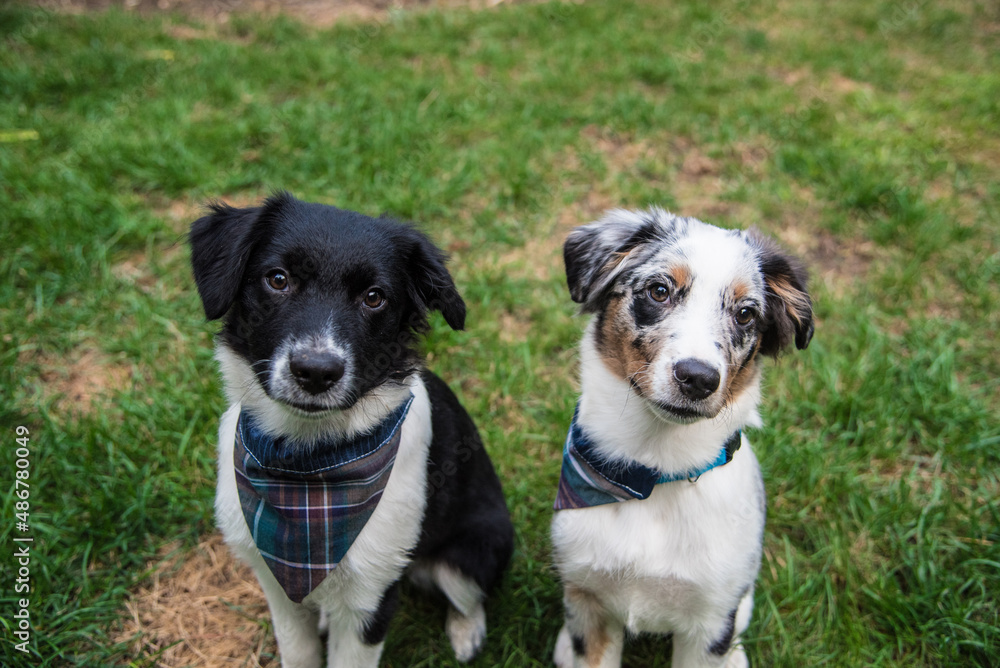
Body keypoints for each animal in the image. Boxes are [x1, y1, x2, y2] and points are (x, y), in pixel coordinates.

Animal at [189, 192, 516, 668]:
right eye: (277, 279)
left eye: (374, 297)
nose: (315, 372)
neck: (306, 465)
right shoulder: (277, 586)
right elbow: (299, 653)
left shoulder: (370, 595)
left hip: (473, 552)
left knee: (468, 597)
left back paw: (465, 631)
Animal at [552, 209, 816, 668]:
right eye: (659, 291)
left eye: (746, 314)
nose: (698, 378)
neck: (654, 473)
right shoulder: (588, 605)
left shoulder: (710, 622)